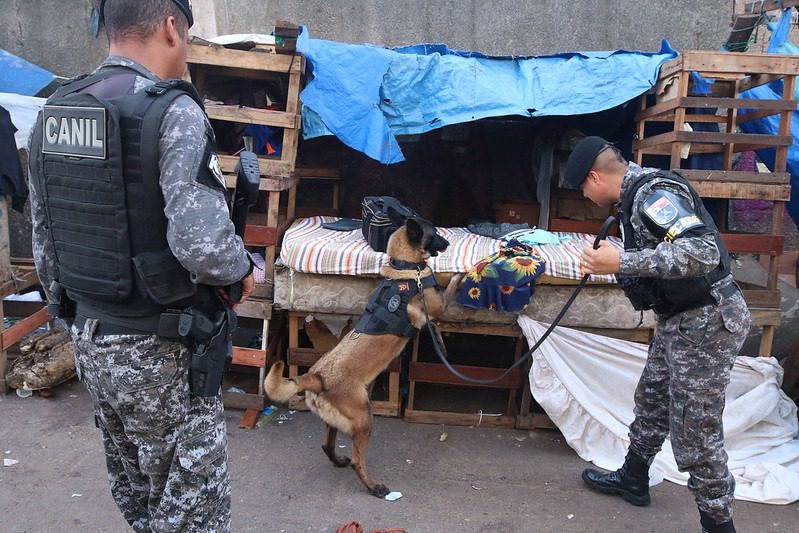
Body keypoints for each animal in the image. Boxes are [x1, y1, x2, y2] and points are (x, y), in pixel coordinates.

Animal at [266, 216, 460, 498]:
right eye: (434, 233)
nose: (448, 244)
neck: (404, 265)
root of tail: (317, 377)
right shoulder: (438, 304)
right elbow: (452, 285)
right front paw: (469, 270)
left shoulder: (431, 313)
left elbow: (435, 323)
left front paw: (442, 346)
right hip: (364, 418)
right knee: (358, 461)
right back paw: (374, 487)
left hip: (339, 421)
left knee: (327, 445)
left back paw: (338, 461)